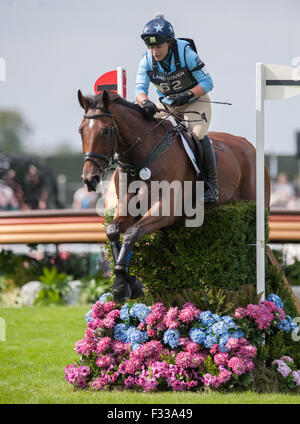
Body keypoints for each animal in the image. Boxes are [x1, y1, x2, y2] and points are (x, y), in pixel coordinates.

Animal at [77, 90, 270, 302]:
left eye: (105, 131)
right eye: (81, 131)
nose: (90, 179)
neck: (142, 158)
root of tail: (249, 146)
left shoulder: (166, 211)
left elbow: (132, 233)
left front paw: (122, 285)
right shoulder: (127, 208)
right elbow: (113, 230)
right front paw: (128, 283)